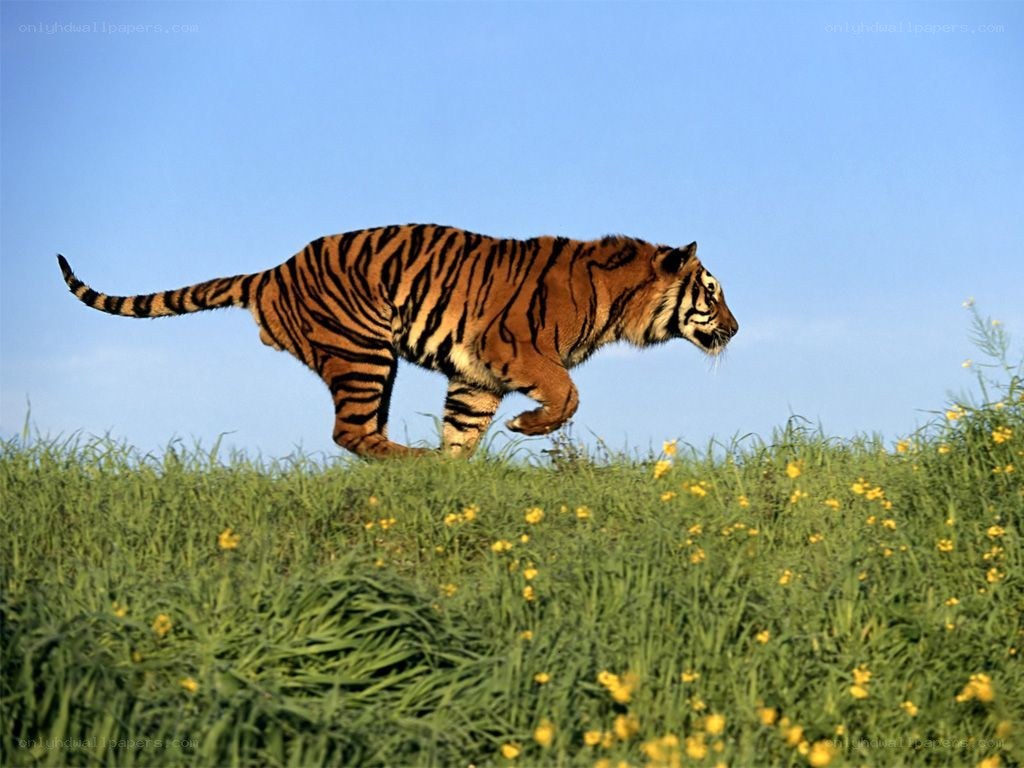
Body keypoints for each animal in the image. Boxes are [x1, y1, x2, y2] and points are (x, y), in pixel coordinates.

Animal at [58, 224, 738, 458]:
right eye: (713, 292)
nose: (736, 329)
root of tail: (272, 271)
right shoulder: (513, 349)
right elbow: (567, 394)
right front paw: (525, 429)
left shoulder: (475, 376)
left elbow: (463, 431)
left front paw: (456, 477)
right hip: (364, 353)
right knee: (352, 433)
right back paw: (413, 464)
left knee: (360, 433)